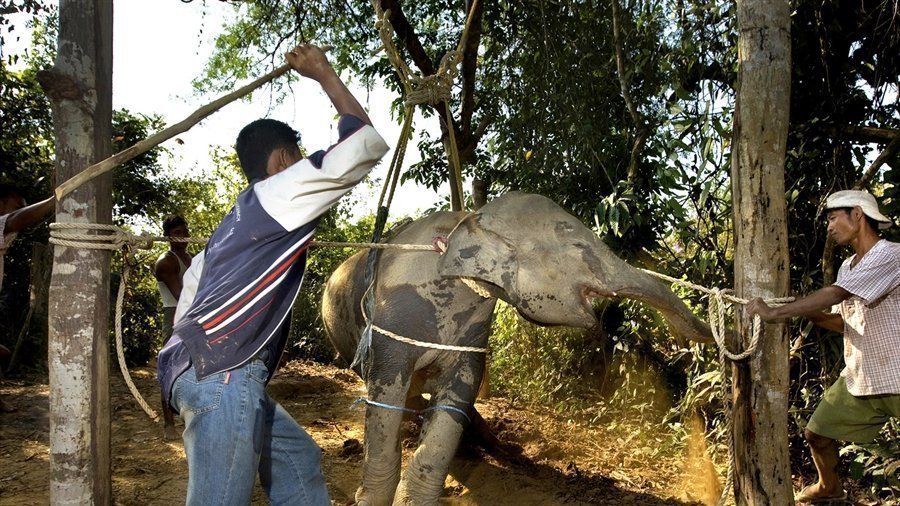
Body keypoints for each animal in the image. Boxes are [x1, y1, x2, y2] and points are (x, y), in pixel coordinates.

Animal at [322, 191, 713, 506]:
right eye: (578, 247)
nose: (703, 336)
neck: (468, 220)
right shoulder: (392, 321)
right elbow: (385, 393)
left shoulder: (473, 331)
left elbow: (460, 392)